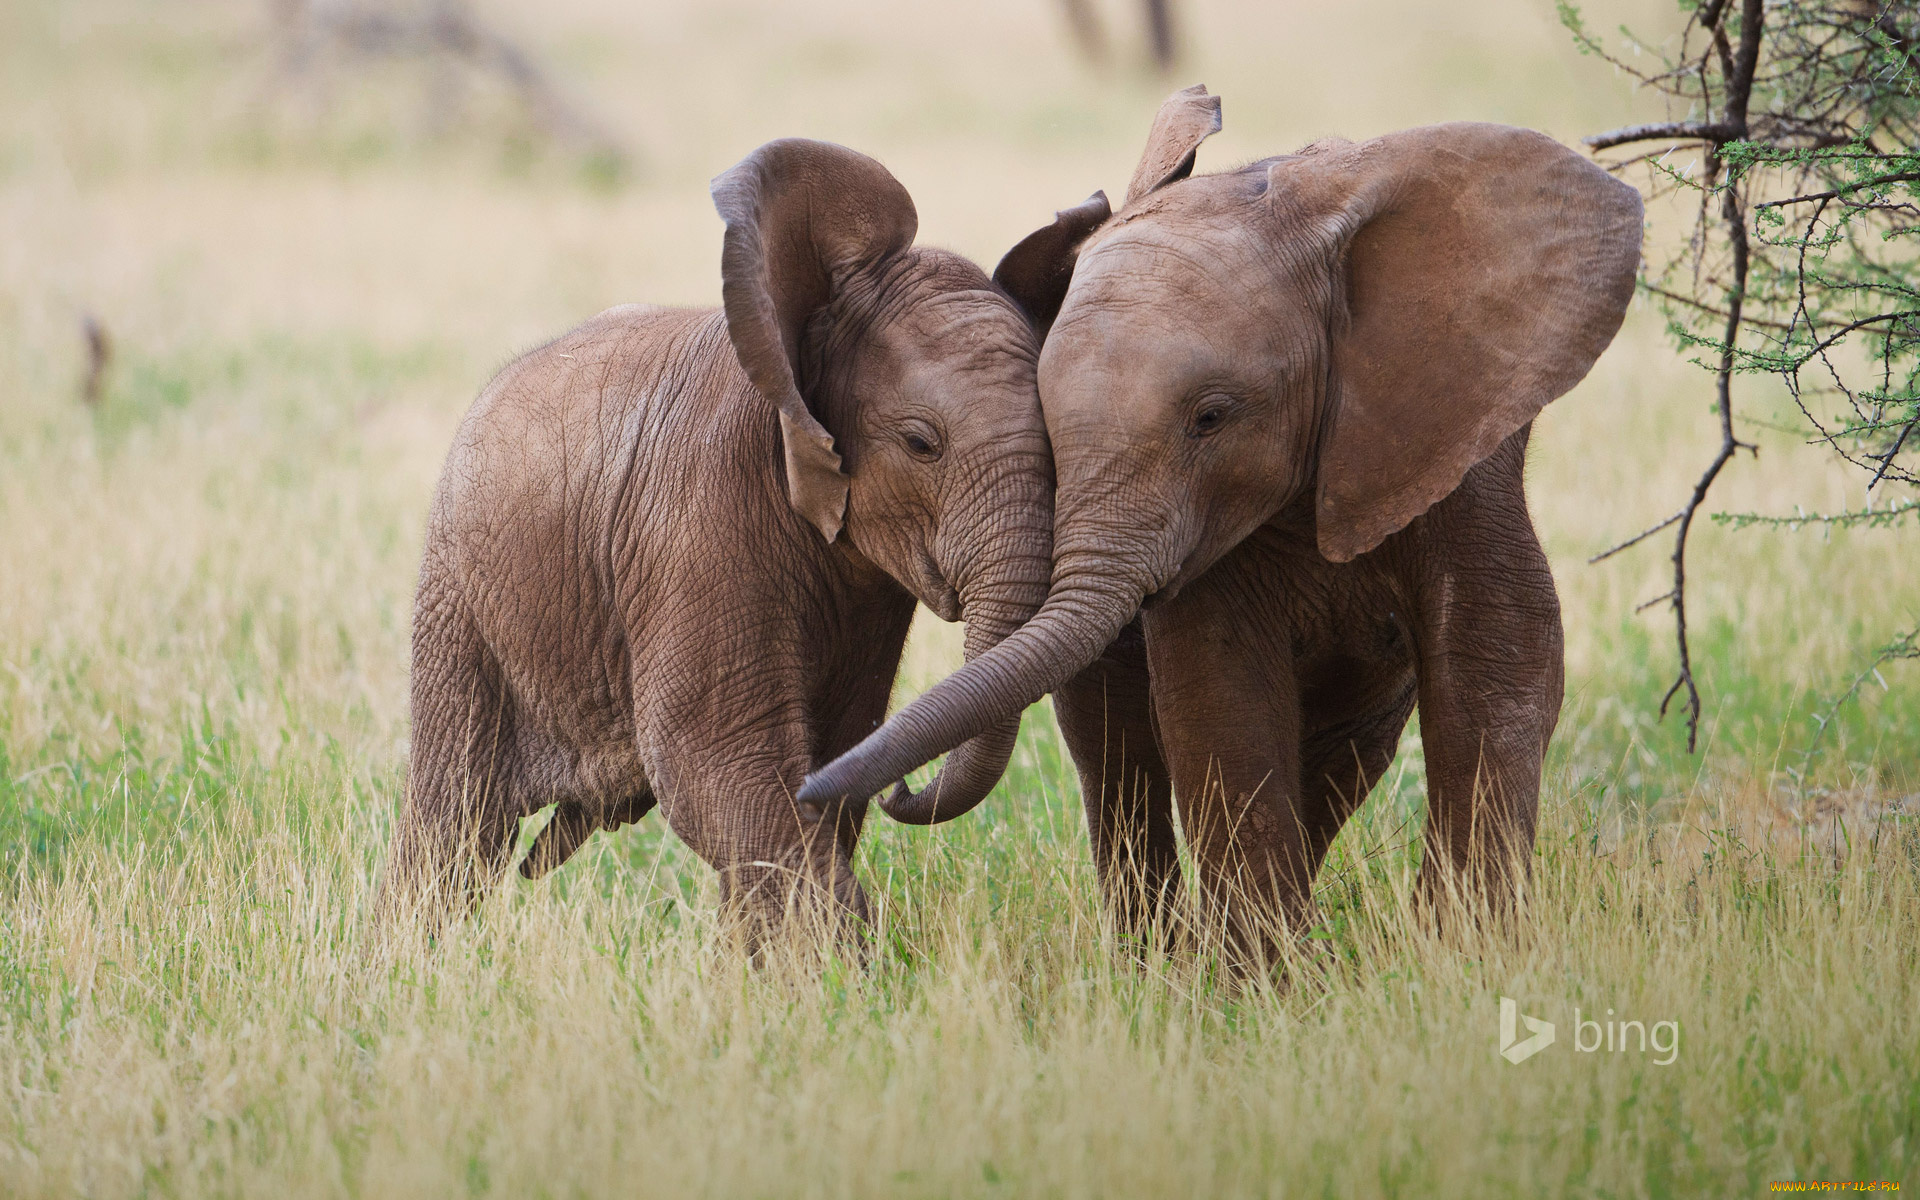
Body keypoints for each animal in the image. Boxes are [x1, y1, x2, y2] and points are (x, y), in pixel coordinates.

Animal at [380, 138, 1059, 944]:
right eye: (922, 444)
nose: (906, 788)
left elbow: (829, 759)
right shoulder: (700, 522)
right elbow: (717, 766)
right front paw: (846, 967)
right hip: (461, 598)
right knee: (459, 818)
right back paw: (410, 956)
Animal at [802, 84, 1643, 960]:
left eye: (1211, 417)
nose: (877, 788)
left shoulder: (1460, 440)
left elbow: (1499, 653)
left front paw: (1464, 954)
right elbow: (1219, 686)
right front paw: (1268, 978)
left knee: (1345, 750)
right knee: (1116, 745)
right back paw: (1158, 959)